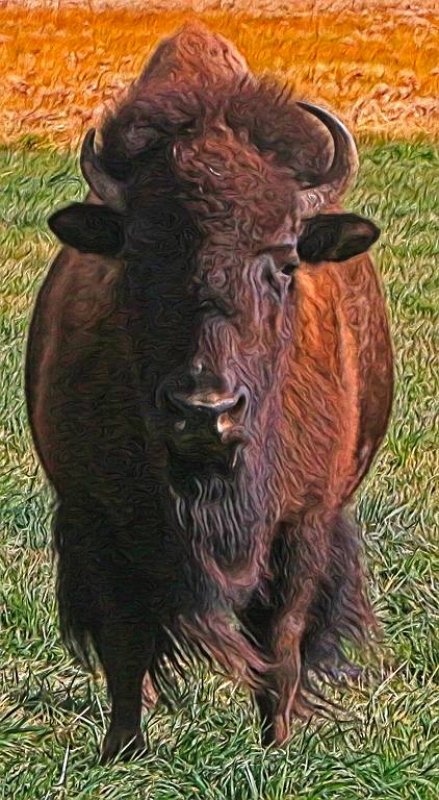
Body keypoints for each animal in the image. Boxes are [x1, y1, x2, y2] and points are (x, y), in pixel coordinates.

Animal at [26, 22, 393, 761]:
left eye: (284, 262)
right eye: (137, 257)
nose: (205, 412)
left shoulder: (302, 523)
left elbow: (280, 641)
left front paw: (276, 746)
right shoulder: (99, 521)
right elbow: (125, 643)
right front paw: (122, 752)